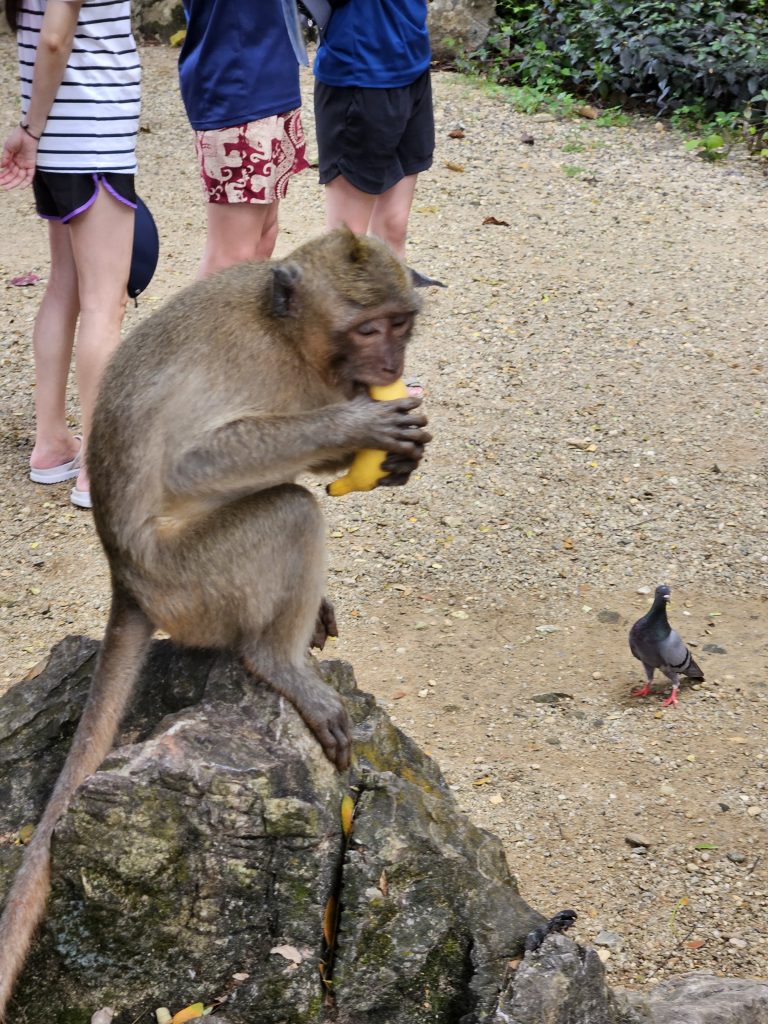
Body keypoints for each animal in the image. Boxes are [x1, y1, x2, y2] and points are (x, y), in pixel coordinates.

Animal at [0, 228, 431, 1016]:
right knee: (289, 509)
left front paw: (397, 455)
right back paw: (278, 661)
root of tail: (127, 581)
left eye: (399, 323)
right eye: (367, 330)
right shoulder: (257, 369)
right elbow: (192, 465)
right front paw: (359, 425)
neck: (290, 341)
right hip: (193, 584)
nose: (391, 366)